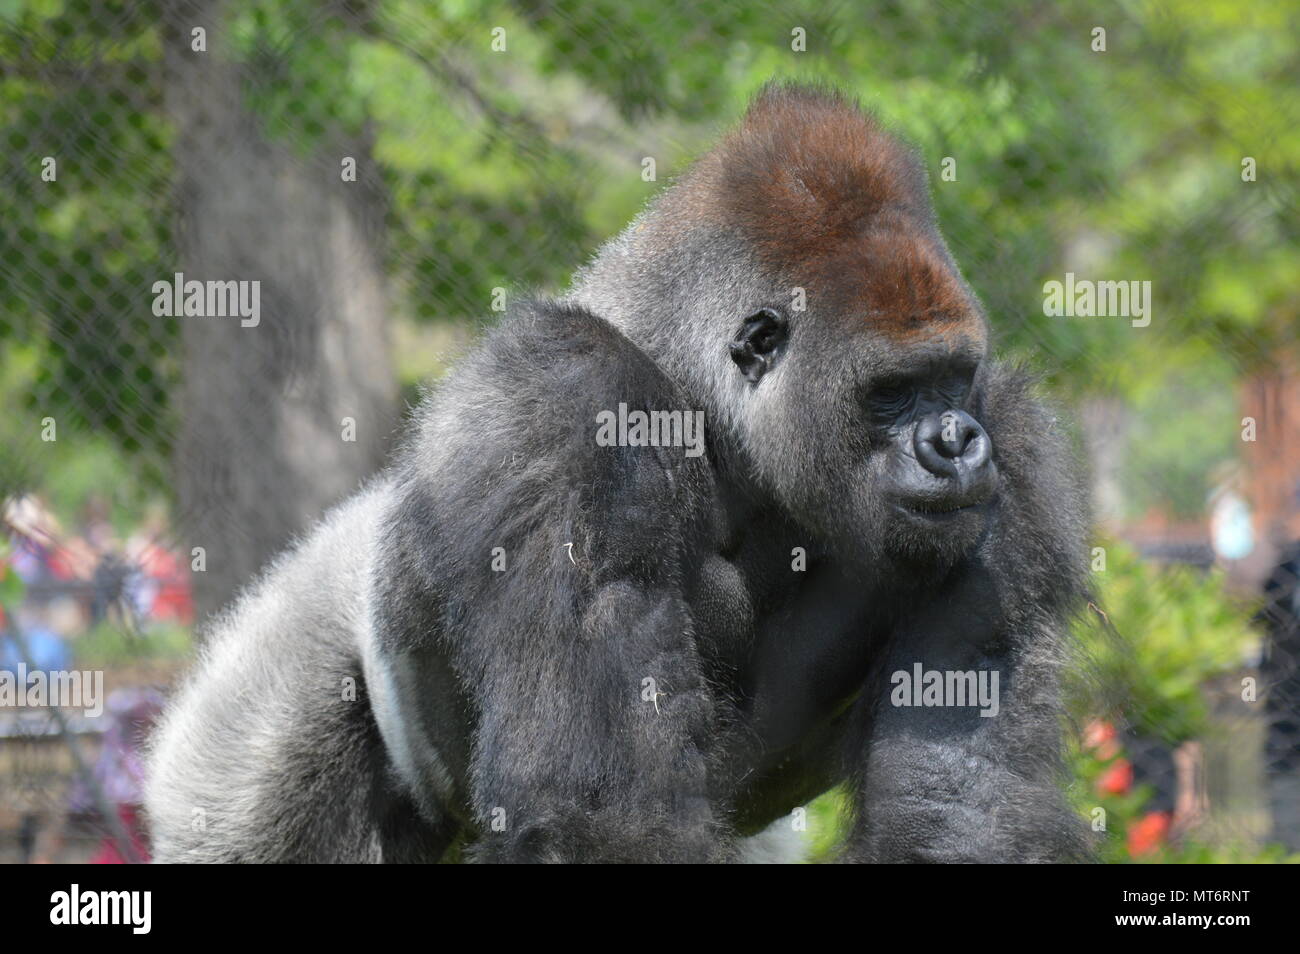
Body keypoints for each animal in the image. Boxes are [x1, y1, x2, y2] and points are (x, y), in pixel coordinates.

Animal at [147, 85, 1092, 868]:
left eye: (954, 378)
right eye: (892, 391)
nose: (956, 441)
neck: (700, 406)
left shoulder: (1016, 451)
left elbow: (956, 817)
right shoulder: (565, 399)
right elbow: (599, 816)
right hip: (250, 709)